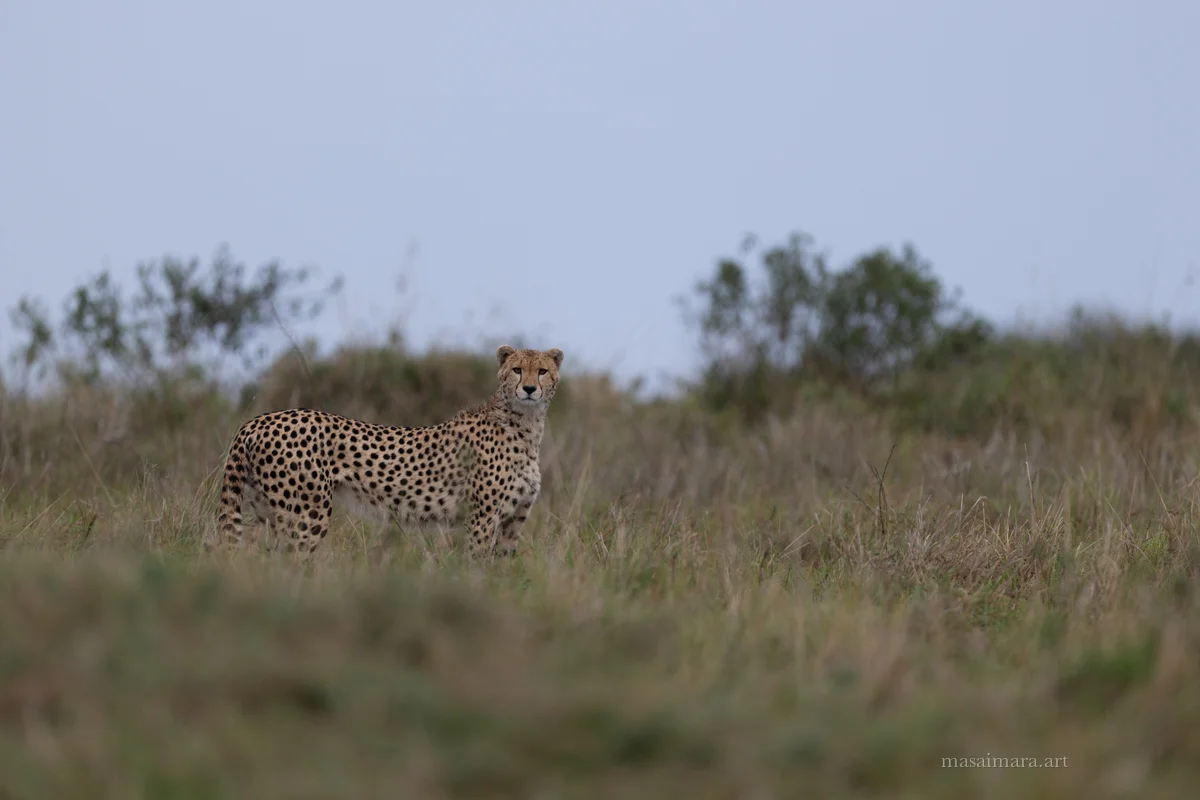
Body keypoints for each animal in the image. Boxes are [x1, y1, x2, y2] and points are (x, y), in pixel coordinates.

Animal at [213, 345, 564, 558]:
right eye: (517, 369)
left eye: (542, 371)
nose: (529, 389)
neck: (526, 426)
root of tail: (258, 420)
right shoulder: (482, 519)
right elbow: (479, 568)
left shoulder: (512, 522)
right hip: (304, 515)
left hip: (267, 513)